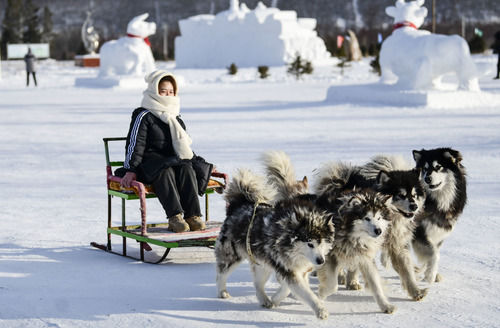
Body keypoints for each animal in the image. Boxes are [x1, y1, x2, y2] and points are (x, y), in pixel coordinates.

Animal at [216, 168, 336, 320]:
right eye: (310, 243)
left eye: (322, 242)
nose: (321, 261)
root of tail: (239, 205)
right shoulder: (287, 268)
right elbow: (305, 292)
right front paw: (320, 309)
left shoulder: (297, 269)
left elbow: (288, 289)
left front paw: (275, 299)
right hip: (232, 255)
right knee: (221, 274)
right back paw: (222, 291)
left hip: (262, 263)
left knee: (258, 284)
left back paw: (264, 299)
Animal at [316, 156, 426, 302]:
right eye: (401, 195)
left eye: (414, 195)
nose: (414, 206)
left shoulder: (395, 244)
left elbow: (406, 270)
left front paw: (415, 291)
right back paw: (342, 276)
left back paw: (352, 281)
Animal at [412, 147, 466, 284]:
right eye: (425, 169)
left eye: (438, 167)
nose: (427, 179)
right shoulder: (419, 233)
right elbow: (435, 254)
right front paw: (430, 275)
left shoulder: (437, 233)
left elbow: (433, 252)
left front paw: (430, 273)